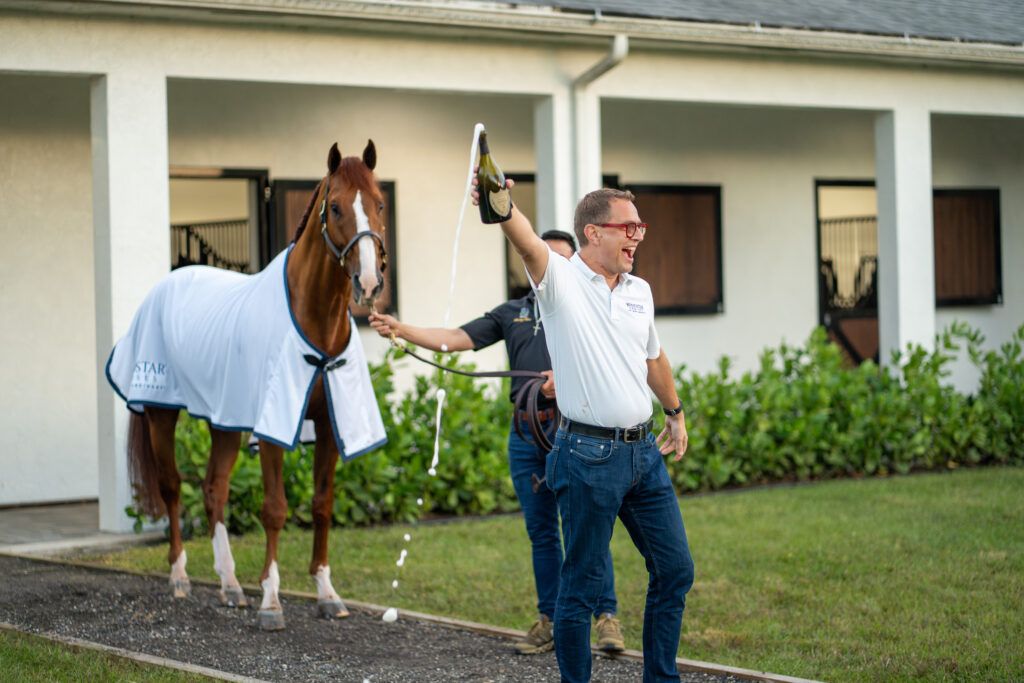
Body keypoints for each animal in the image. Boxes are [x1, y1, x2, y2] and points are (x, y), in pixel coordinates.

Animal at [119, 143, 389, 630]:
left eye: (379, 204)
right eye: (336, 207)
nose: (368, 281)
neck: (316, 324)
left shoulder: (329, 425)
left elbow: (321, 504)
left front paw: (327, 593)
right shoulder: (272, 430)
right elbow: (275, 509)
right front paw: (271, 600)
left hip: (224, 421)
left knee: (214, 489)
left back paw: (229, 586)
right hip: (161, 413)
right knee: (172, 488)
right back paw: (180, 577)